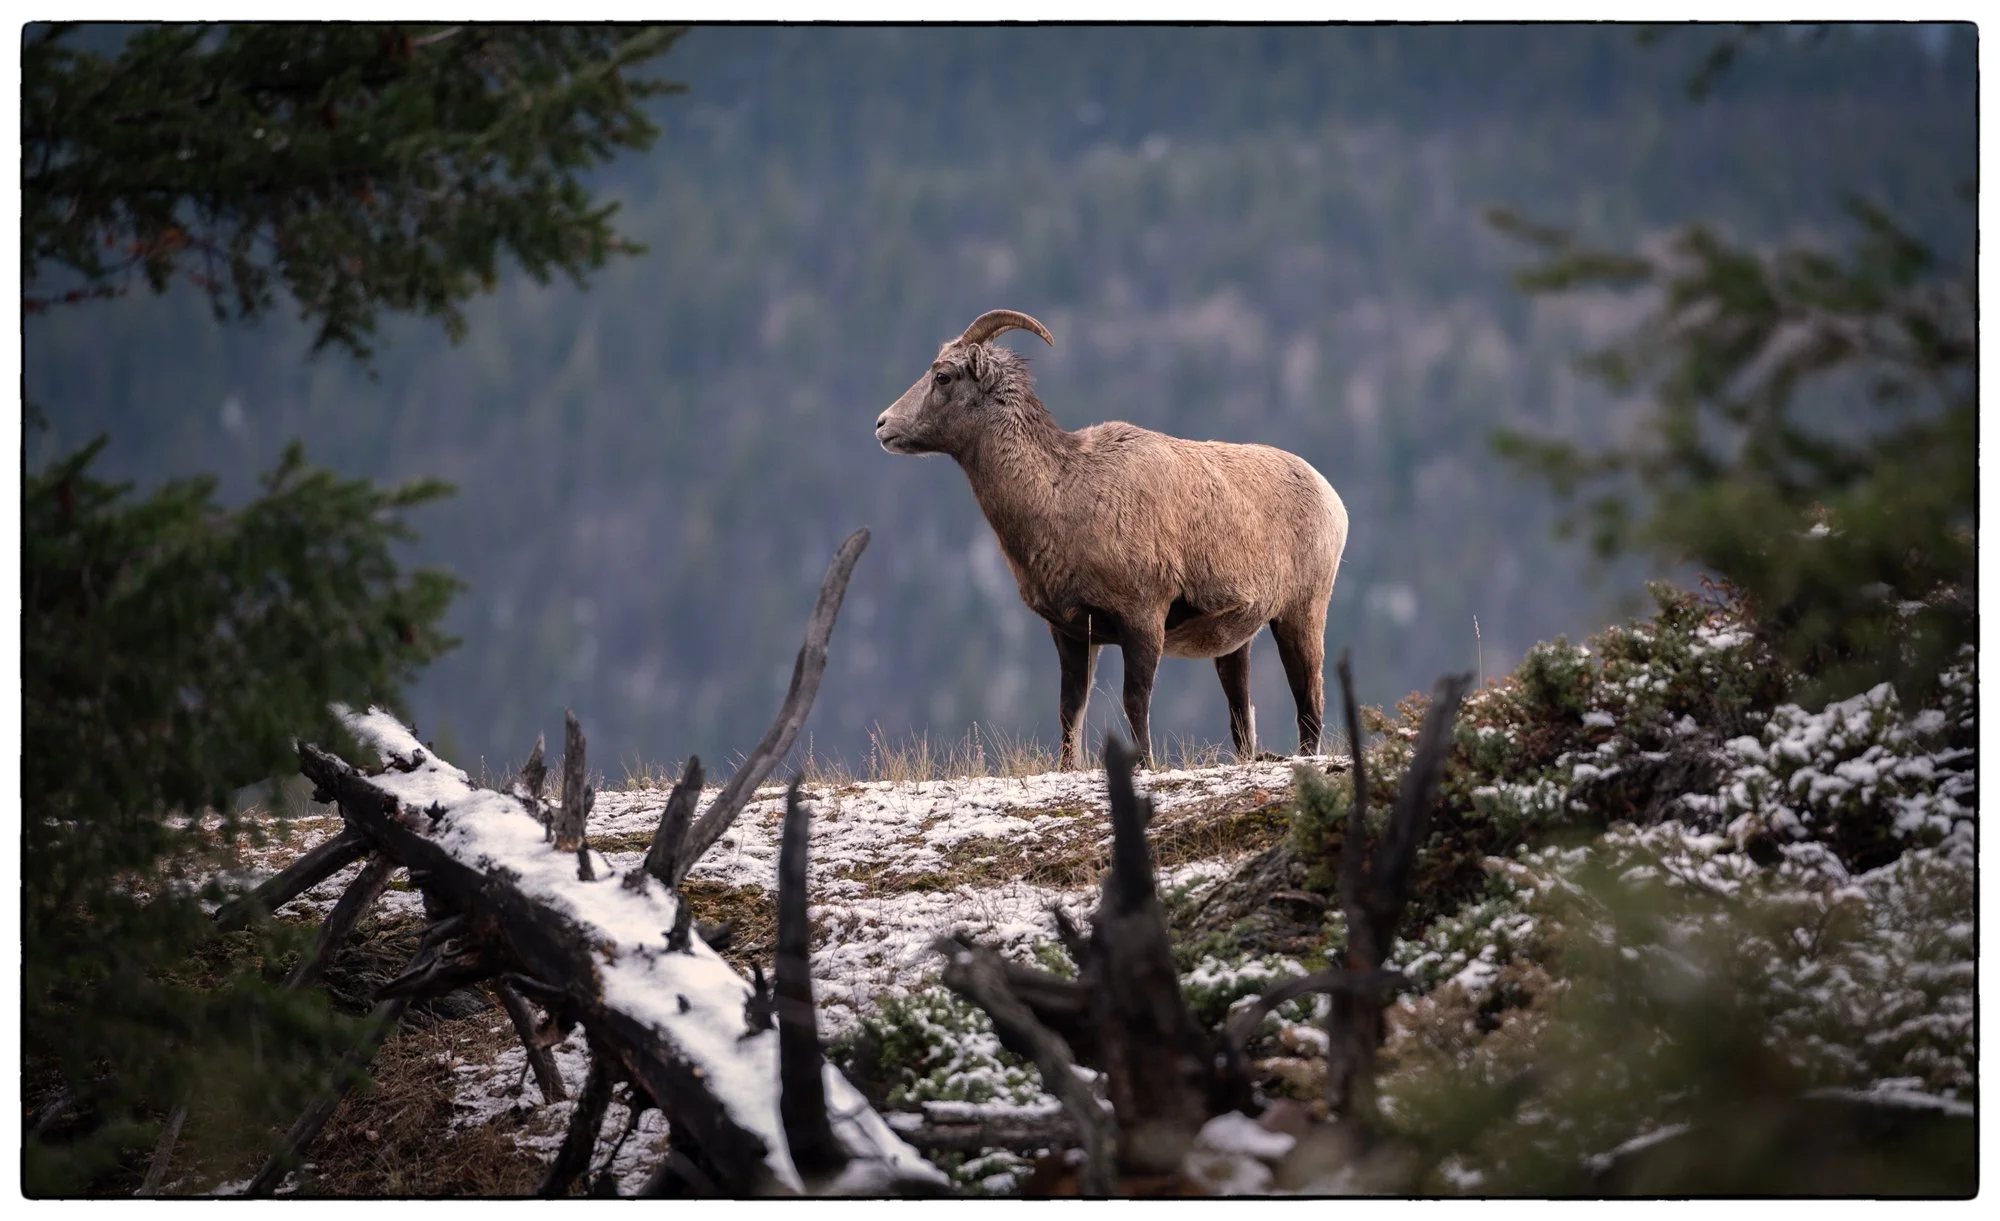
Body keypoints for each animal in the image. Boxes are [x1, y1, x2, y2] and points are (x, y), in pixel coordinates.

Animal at [875, 308, 1349, 769]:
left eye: (943, 376)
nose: (882, 425)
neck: (1064, 493)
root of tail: (1332, 500)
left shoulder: (1143, 619)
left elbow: (1134, 702)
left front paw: (1145, 764)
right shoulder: (1071, 635)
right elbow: (1070, 709)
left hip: (1301, 614)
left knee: (1310, 702)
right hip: (1237, 646)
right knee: (1243, 717)